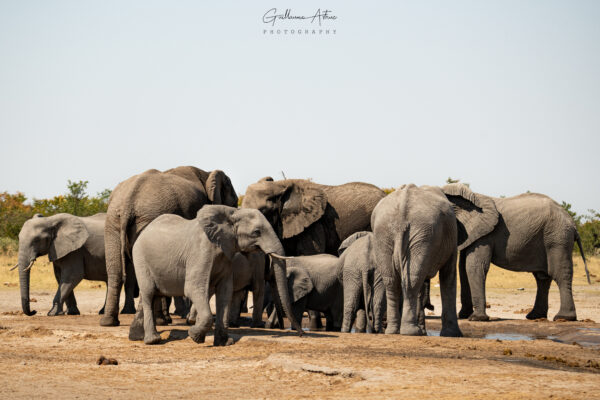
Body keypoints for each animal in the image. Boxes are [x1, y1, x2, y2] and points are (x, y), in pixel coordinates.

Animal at [100, 164, 237, 326]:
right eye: (234, 203)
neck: (206, 174)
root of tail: (129, 200)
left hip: (112, 222)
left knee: (115, 271)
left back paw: (109, 322)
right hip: (148, 218)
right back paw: (157, 321)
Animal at [129, 205, 302, 346]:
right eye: (256, 232)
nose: (301, 333)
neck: (232, 212)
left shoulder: (227, 255)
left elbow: (225, 291)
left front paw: (224, 342)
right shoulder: (200, 252)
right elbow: (193, 288)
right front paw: (194, 335)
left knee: (153, 295)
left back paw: (135, 337)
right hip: (140, 258)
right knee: (149, 293)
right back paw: (152, 340)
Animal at [372, 184, 500, 338]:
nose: (431, 306)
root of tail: (403, 209)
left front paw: (425, 331)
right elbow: (448, 276)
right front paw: (452, 334)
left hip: (387, 235)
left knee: (392, 281)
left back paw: (393, 331)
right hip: (420, 233)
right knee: (412, 280)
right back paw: (411, 332)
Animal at [460, 190, 592, 322]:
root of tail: (573, 224)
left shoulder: (484, 234)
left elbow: (475, 266)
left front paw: (476, 318)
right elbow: (463, 268)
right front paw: (463, 316)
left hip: (558, 238)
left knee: (559, 274)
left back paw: (563, 318)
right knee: (542, 278)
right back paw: (535, 316)